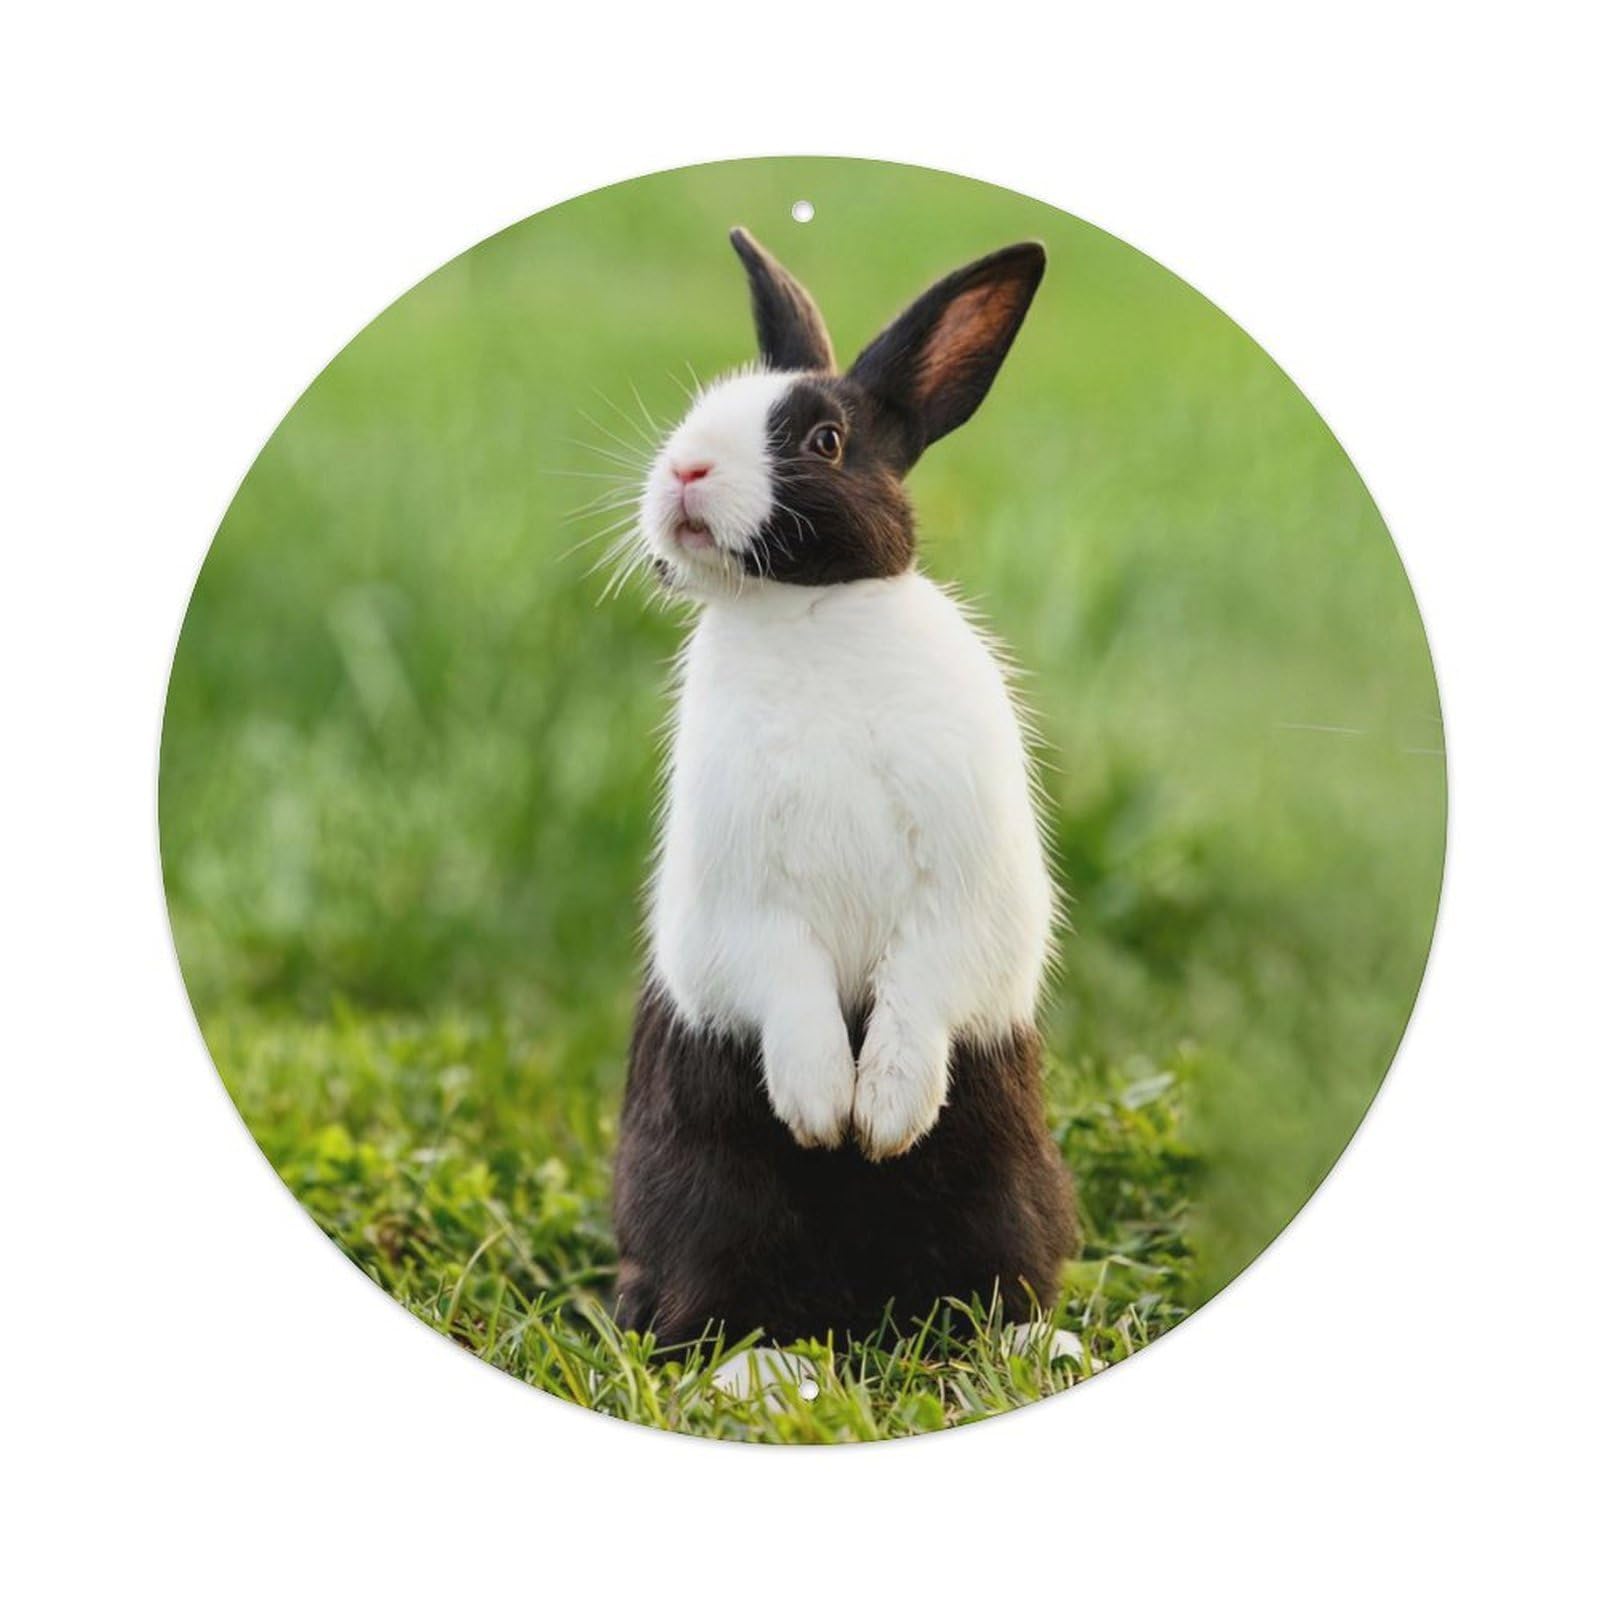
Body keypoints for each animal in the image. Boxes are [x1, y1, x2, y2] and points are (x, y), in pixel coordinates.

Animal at [611, 227, 1078, 1348]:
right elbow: (783, 977)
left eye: (823, 441)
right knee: (709, 1296)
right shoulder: (740, 905)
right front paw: (825, 1109)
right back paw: (766, 1365)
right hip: (704, 1186)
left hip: (1005, 1181)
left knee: (994, 1274)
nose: (684, 469)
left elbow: (928, 975)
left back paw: (1030, 1342)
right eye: (707, 403)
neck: (807, 615)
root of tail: (861, 1305)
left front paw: (884, 1115)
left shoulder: (965, 890)